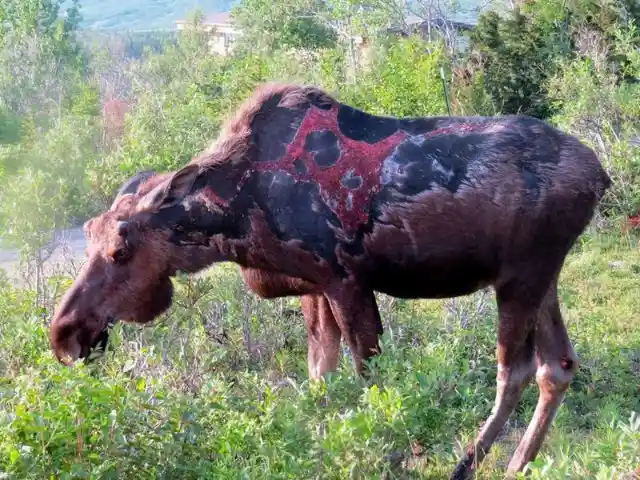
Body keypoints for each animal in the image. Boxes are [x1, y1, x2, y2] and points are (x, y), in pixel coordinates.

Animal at [49, 82, 611, 478]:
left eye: (121, 250)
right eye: (87, 232)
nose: (64, 333)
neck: (234, 216)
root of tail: (600, 176)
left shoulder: (346, 280)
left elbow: (371, 381)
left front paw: (391, 454)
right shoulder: (314, 286)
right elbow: (321, 378)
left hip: (520, 275)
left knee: (515, 370)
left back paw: (467, 465)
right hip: (542, 276)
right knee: (558, 365)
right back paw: (519, 463)